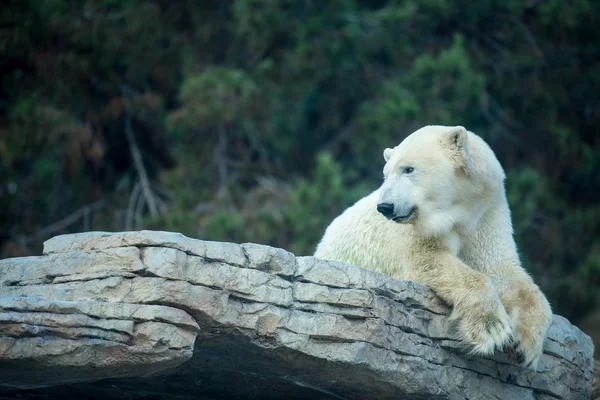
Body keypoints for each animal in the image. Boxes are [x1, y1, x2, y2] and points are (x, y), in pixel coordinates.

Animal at [314, 125, 552, 368]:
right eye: (386, 174)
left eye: (408, 169)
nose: (385, 206)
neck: (460, 210)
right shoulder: (421, 230)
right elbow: (428, 258)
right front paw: (492, 329)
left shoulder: (486, 212)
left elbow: (502, 270)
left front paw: (527, 346)